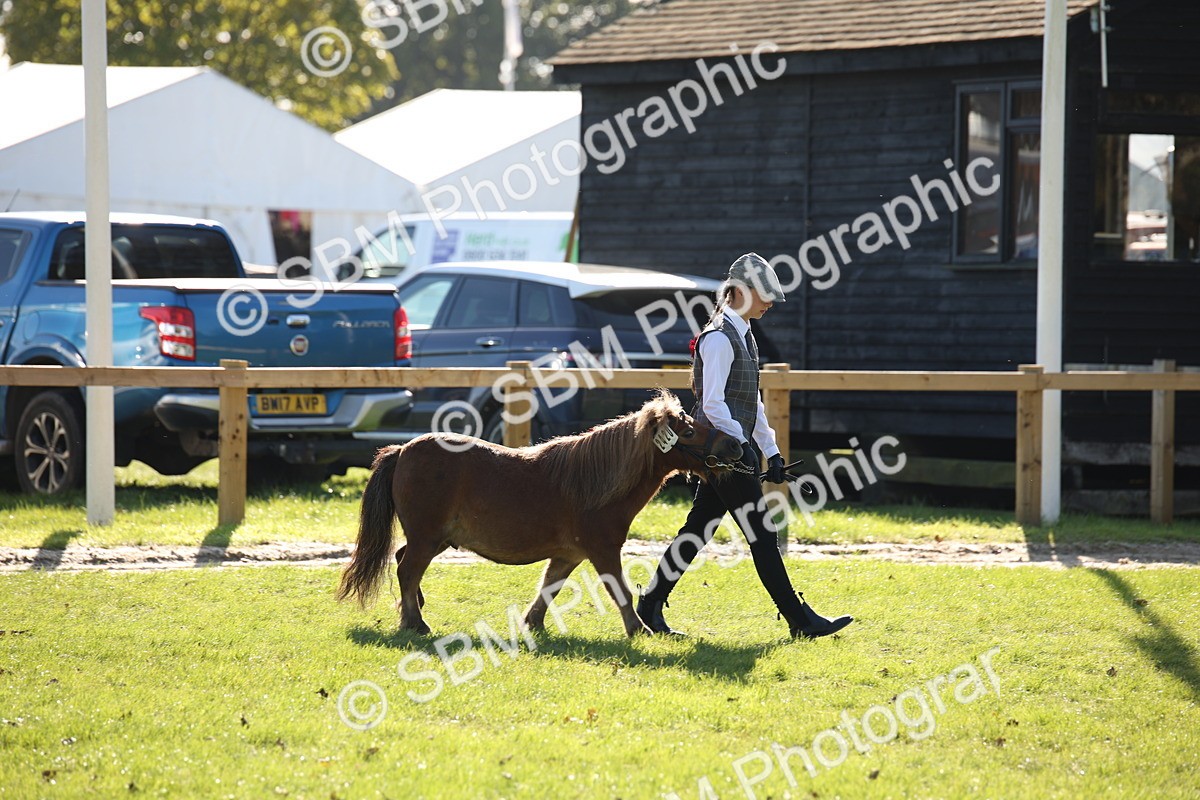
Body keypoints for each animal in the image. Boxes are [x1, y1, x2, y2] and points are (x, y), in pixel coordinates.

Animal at [336, 390, 744, 637]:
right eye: (687, 432)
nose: (735, 445)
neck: (594, 484)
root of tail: (403, 450)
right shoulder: (602, 552)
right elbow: (621, 592)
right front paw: (638, 629)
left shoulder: (569, 556)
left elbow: (549, 589)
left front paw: (533, 624)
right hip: (427, 538)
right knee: (407, 569)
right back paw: (415, 623)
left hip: (436, 539)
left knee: (404, 561)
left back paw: (413, 611)